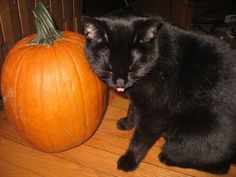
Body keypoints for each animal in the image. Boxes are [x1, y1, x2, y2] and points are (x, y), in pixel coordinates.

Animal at [81, 11, 236, 174]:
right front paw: (127, 123)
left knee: (219, 166)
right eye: (108, 68)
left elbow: (140, 139)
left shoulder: (156, 111)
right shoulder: (141, 98)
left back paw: (167, 157)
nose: (120, 83)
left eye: (132, 68)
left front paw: (129, 160)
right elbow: (132, 109)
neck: (157, 59)